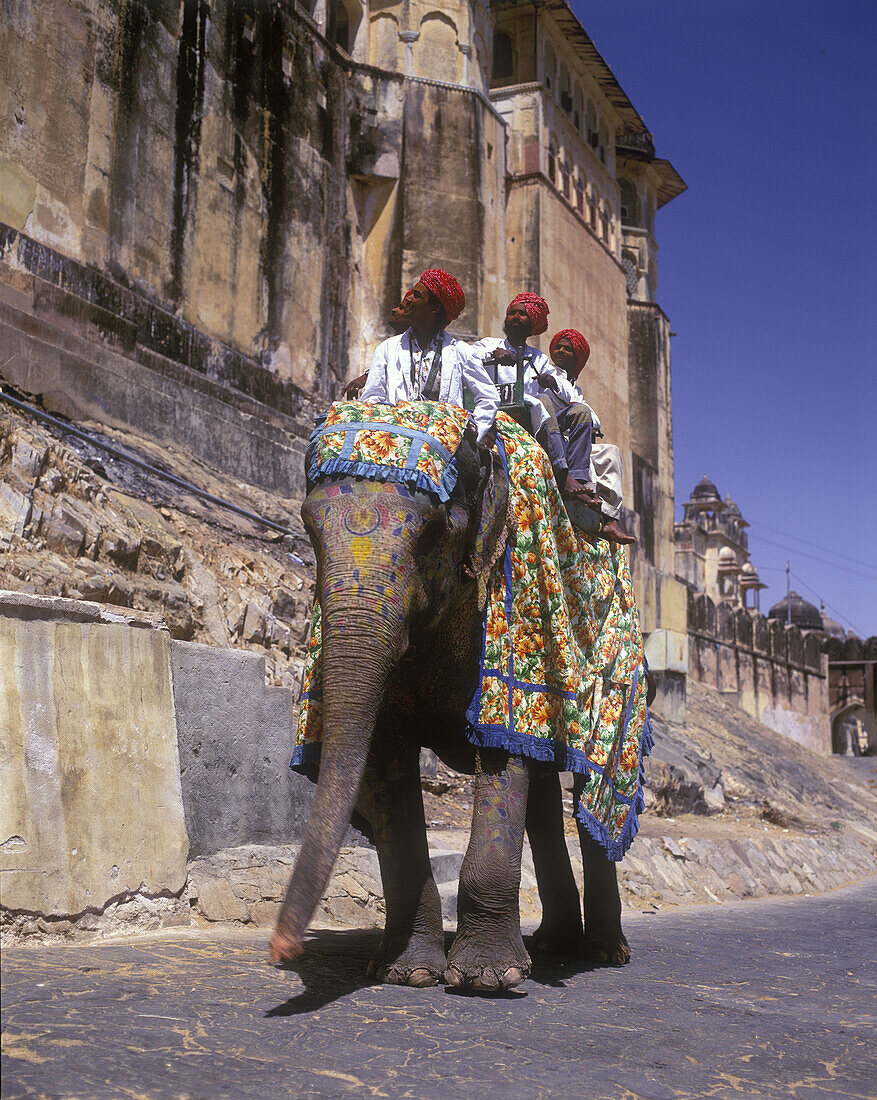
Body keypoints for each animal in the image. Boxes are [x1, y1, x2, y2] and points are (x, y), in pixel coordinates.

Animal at [268, 426, 629, 990]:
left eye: (432, 533)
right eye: (308, 526)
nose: (281, 949)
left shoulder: (509, 620)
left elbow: (501, 757)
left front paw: (488, 979)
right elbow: (387, 762)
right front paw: (407, 973)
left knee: (590, 787)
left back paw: (605, 952)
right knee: (545, 794)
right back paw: (553, 943)